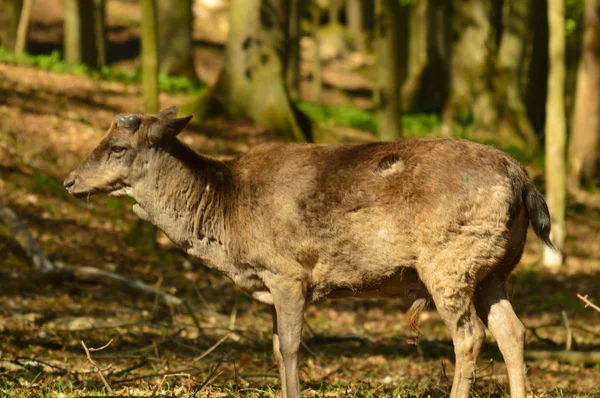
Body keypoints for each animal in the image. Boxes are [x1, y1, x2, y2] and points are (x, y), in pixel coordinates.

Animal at [64, 107, 552, 398]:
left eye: (117, 148)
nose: (69, 181)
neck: (227, 215)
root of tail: (524, 180)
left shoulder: (288, 272)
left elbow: (293, 346)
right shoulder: (269, 283)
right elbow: (277, 347)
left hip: (448, 262)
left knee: (470, 335)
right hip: (493, 269)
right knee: (512, 331)